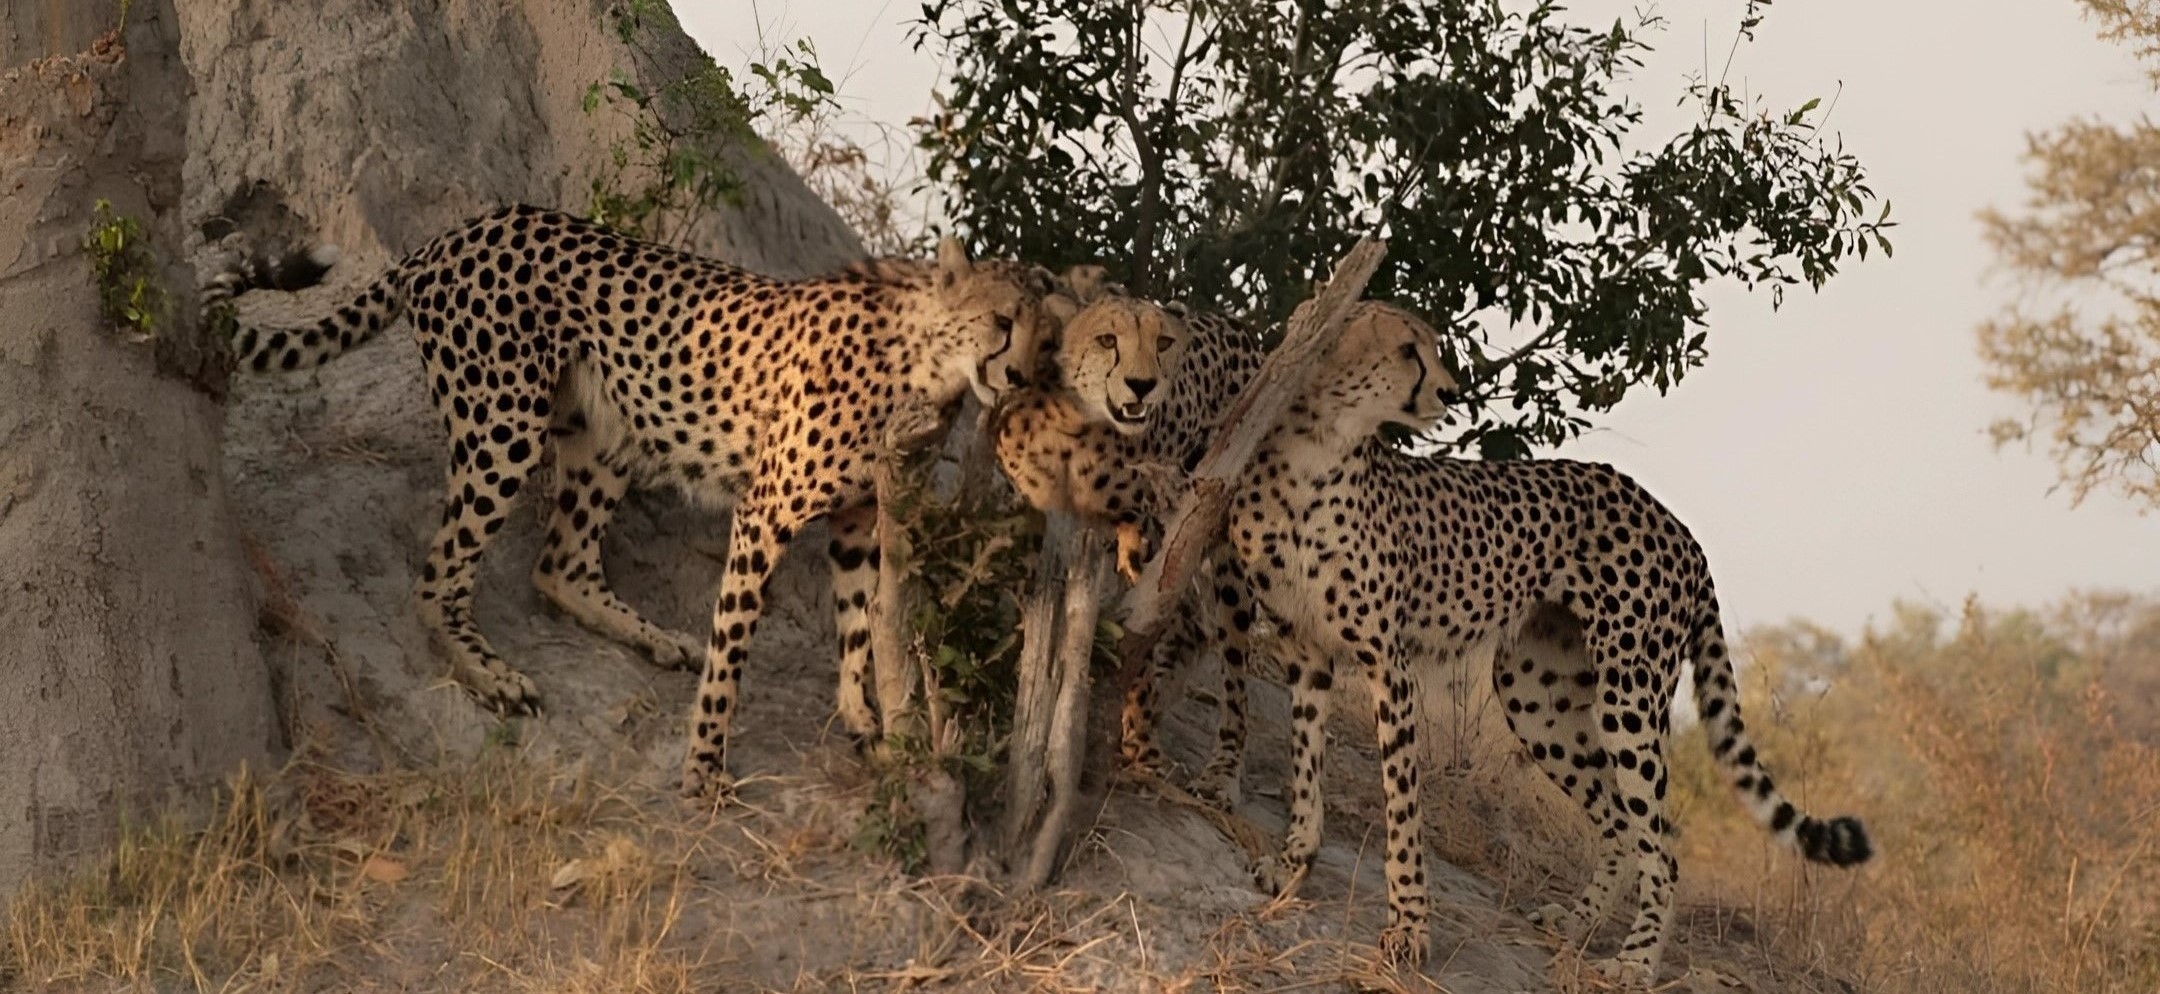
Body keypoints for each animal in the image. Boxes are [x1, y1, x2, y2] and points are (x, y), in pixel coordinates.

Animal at [221, 203, 1062, 798]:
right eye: (1001, 322)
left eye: (1048, 340)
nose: (1020, 377)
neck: (923, 364)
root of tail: (459, 230)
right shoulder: (765, 510)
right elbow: (734, 648)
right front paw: (703, 768)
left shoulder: (858, 518)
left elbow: (857, 625)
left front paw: (862, 720)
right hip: (505, 423)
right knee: (439, 579)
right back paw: (490, 674)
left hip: (604, 437)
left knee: (558, 564)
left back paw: (652, 637)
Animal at [1218, 301, 1873, 983]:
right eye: (1406, 350)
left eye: (1430, 347)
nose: (1450, 392)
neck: (1315, 451)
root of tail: (1682, 528)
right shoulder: (1306, 652)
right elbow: (1305, 768)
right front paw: (1293, 864)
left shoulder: (1387, 665)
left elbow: (1402, 807)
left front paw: (1409, 929)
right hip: (1537, 700)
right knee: (1619, 826)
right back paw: (1579, 926)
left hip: (1628, 698)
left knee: (1663, 847)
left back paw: (1635, 962)